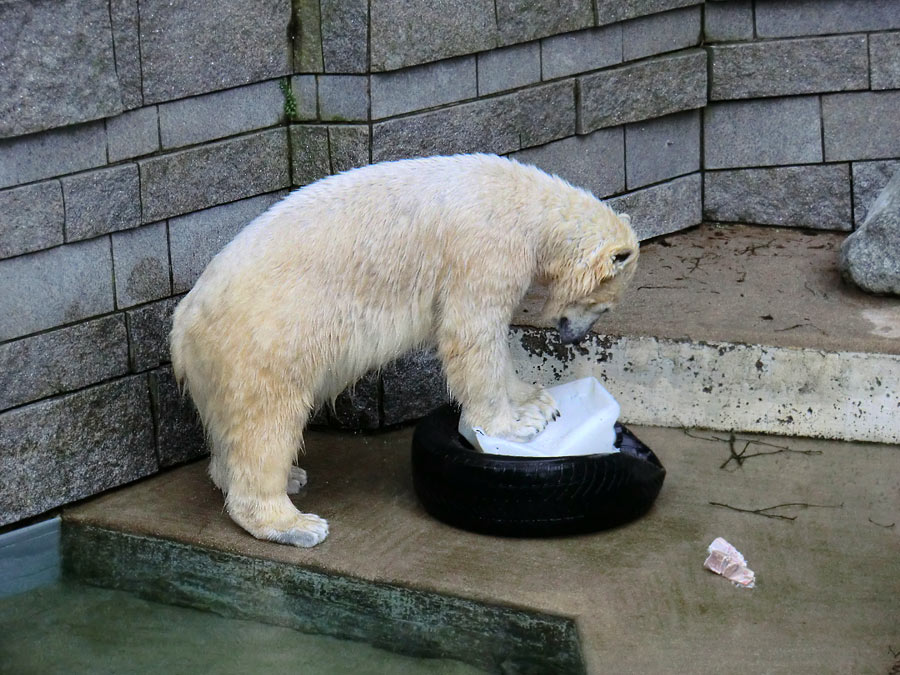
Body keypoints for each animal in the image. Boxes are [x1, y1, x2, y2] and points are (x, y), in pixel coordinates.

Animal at [169, 154, 640, 548]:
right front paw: (514, 426)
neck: (530, 206)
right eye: (604, 306)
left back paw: (287, 477)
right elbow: (472, 333)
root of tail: (183, 325)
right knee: (267, 421)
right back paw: (293, 522)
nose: (573, 339)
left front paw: (536, 401)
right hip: (267, 340)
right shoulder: (485, 251)